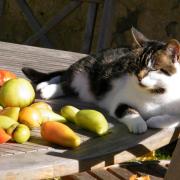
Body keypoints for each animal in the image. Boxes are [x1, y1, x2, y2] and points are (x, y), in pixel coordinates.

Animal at [22, 27, 180, 134]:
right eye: (135, 66)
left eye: (153, 69)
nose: (139, 77)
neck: (155, 92)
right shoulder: (118, 101)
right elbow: (128, 110)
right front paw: (139, 124)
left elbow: (174, 119)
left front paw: (154, 120)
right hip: (84, 71)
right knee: (66, 80)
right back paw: (47, 89)